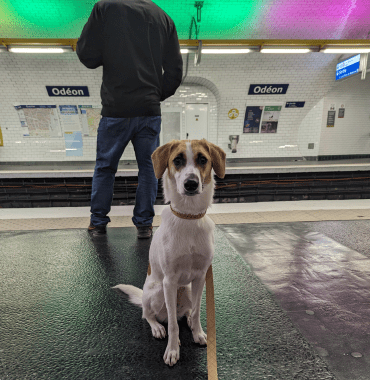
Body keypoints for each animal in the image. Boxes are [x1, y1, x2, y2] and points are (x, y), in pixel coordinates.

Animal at [112, 139, 225, 366]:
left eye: (203, 159)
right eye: (177, 160)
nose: (191, 183)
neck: (189, 217)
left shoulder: (200, 277)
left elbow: (198, 311)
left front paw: (198, 333)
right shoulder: (170, 281)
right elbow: (173, 324)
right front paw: (173, 350)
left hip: (187, 288)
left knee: (187, 312)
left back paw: (188, 320)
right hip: (156, 292)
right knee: (149, 314)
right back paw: (157, 327)